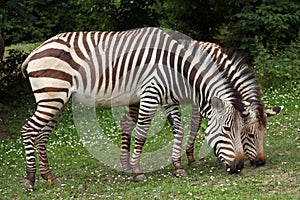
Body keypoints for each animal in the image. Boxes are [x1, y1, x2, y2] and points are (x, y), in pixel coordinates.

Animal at [21, 27, 250, 190]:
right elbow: (141, 133)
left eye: (242, 130)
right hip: (52, 95)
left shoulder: (167, 100)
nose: (239, 166)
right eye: (227, 130)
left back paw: (49, 177)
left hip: (57, 99)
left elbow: (179, 129)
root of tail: (34, 51)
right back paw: (30, 179)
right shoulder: (150, 94)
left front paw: (177, 166)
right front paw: (138, 171)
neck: (176, 68)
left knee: (42, 136)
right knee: (28, 130)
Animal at [118, 41, 282, 173]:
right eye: (250, 135)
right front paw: (192, 157)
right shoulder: (199, 100)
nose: (260, 162)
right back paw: (126, 166)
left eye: (264, 134)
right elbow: (195, 125)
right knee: (126, 122)